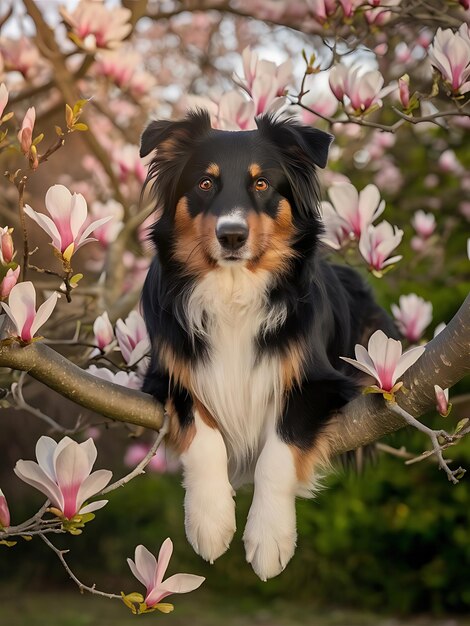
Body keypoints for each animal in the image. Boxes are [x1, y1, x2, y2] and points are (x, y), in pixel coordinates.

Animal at [139, 108, 392, 580]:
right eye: (206, 183)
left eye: (261, 184)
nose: (232, 236)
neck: (234, 289)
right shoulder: (167, 375)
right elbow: (203, 432)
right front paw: (210, 520)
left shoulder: (320, 382)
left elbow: (279, 448)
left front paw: (269, 537)